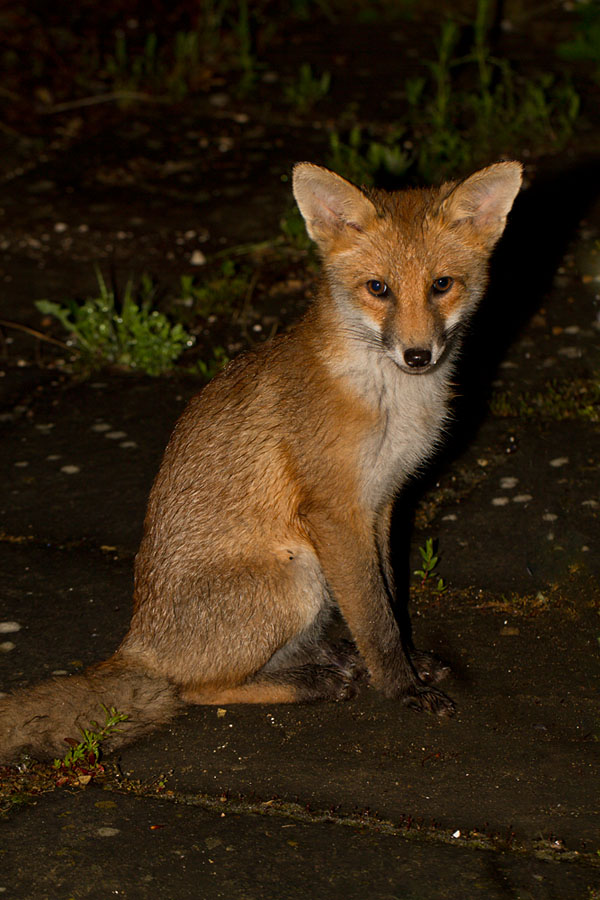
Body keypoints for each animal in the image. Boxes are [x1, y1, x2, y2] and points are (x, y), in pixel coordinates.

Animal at [0, 160, 522, 763]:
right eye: (378, 289)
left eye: (441, 285)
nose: (418, 355)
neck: (392, 400)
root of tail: (136, 645)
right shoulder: (334, 511)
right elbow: (375, 617)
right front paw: (401, 686)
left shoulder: (383, 502)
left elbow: (388, 597)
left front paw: (406, 665)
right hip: (298, 576)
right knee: (192, 689)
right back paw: (313, 684)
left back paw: (331, 660)